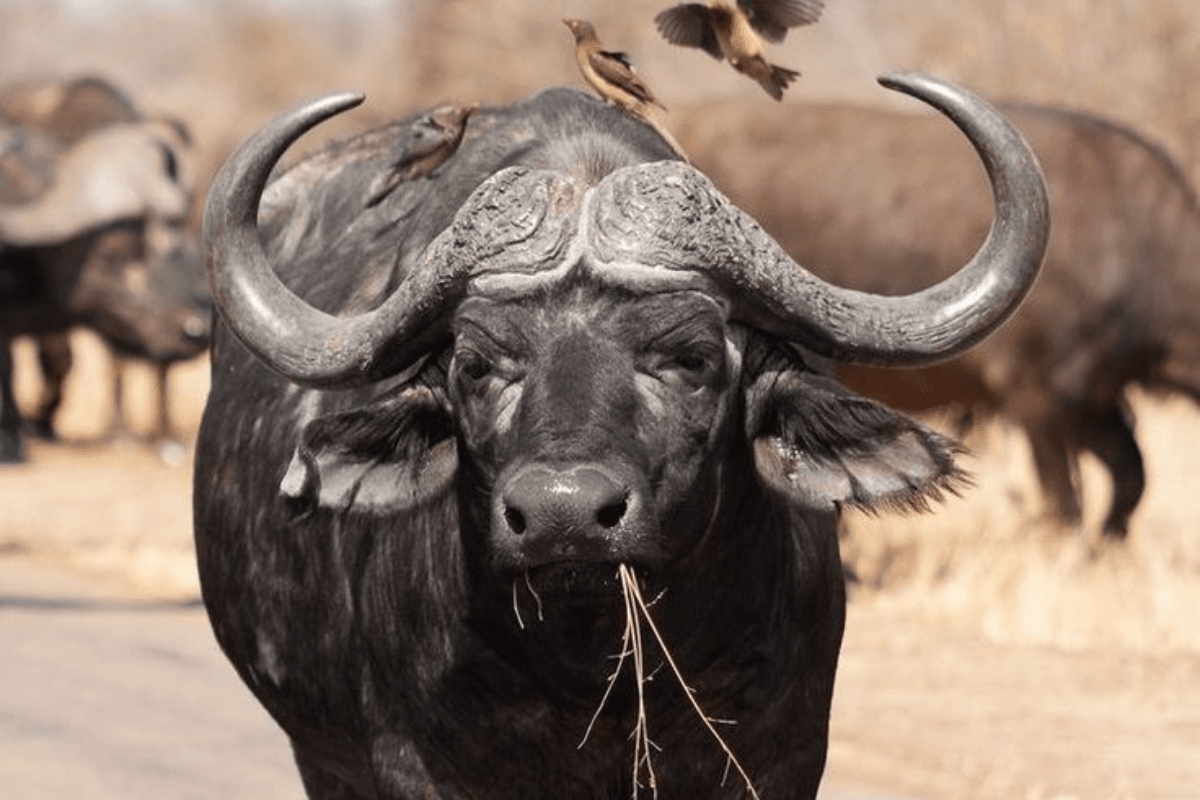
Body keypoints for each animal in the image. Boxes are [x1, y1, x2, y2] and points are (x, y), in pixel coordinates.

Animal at [194, 73, 1047, 799]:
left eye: (690, 357)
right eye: (477, 364)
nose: (562, 515)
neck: (587, 675)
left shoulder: (782, 756)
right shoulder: (409, 764)